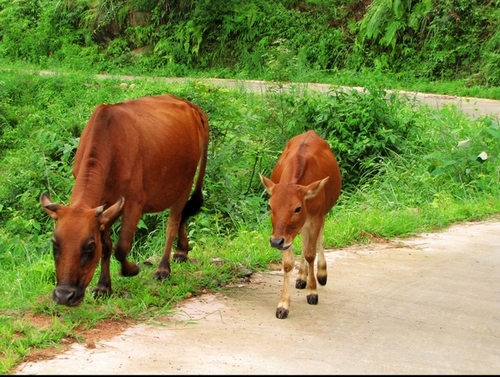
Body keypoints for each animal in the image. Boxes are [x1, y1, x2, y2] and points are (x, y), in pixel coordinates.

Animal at [39, 93, 209, 306]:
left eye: (89, 246)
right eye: (54, 243)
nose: (64, 295)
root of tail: (188, 104)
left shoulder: (134, 203)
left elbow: (120, 248)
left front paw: (131, 270)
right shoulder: (104, 210)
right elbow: (107, 247)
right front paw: (103, 287)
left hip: (185, 183)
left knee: (173, 222)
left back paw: (163, 268)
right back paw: (181, 251)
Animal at [260, 129, 342, 318]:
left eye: (297, 207)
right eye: (270, 205)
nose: (275, 242)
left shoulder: (316, 218)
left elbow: (311, 253)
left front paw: (312, 292)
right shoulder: (285, 233)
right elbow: (288, 263)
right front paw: (283, 305)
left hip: (321, 215)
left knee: (317, 240)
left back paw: (321, 274)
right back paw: (301, 277)